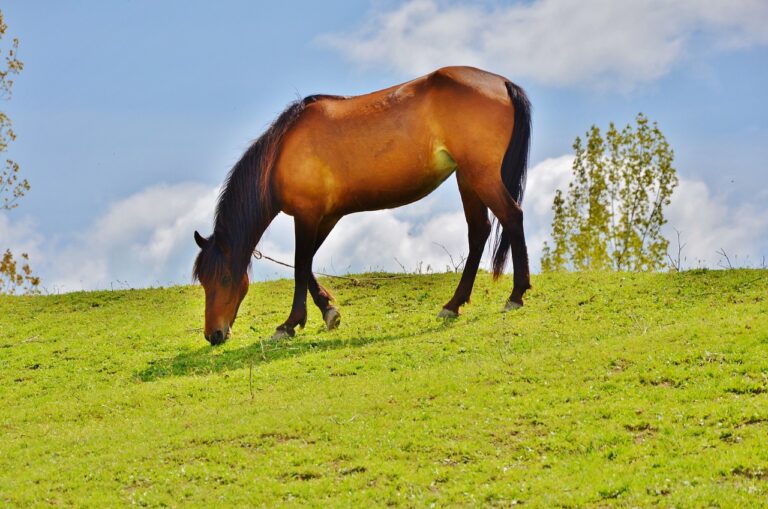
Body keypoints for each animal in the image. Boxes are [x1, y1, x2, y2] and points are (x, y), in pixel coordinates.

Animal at [192, 65, 532, 344]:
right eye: (204, 282)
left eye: (224, 279)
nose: (214, 335)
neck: (280, 153)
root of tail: (502, 82)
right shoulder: (327, 216)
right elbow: (309, 263)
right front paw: (328, 311)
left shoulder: (306, 215)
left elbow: (300, 266)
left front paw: (289, 324)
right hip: (467, 177)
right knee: (479, 231)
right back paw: (453, 304)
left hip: (481, 176)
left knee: (512, 217)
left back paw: (516, 295)